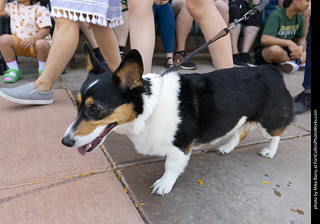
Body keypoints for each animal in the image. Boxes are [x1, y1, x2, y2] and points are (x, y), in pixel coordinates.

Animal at [61, 42, 294, 196]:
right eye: (78, 104)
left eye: (95, 109)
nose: (65, 142)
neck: (150, 107)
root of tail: (272, 70)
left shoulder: (180, 147)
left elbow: (171, 167)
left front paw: (163, 185)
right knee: (241, 131)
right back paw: (227, 147)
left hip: (268, 121)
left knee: (277, 134)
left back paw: (270, 151)